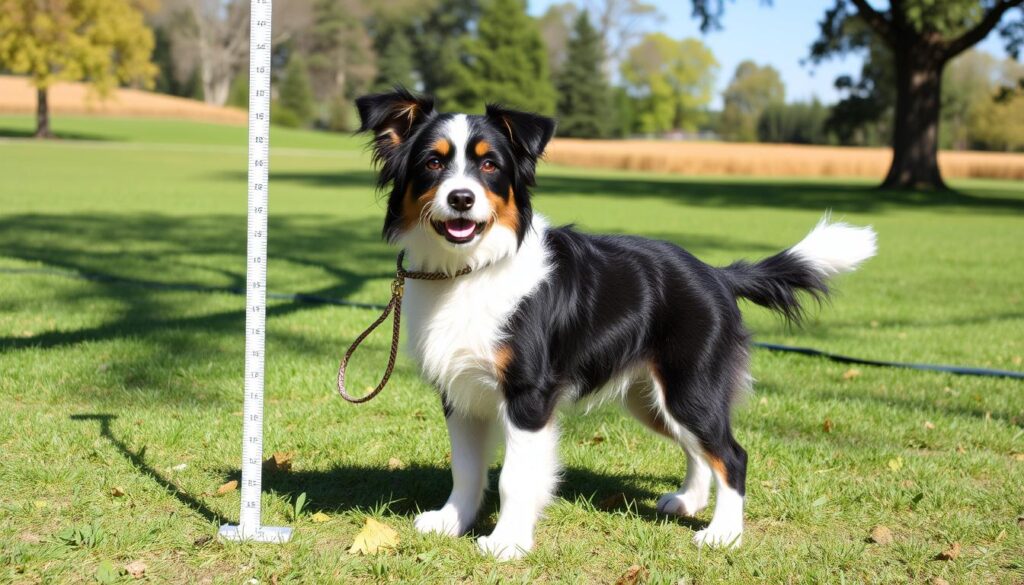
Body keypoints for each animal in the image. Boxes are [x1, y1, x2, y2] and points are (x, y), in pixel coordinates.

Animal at [356, 89, 876, 561]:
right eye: (432, 163)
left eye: (489, 166)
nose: (461, 199)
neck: (470, 268)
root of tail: (717, 274)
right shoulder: (460, 390)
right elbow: (465, 467)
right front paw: (453, 521)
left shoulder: (529, 395)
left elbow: (515, 477)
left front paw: (508, 542)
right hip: (651, 398)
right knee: (699, 451)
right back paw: (689, 502)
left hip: (690, 387)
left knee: (732, 455)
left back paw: (723, 534)